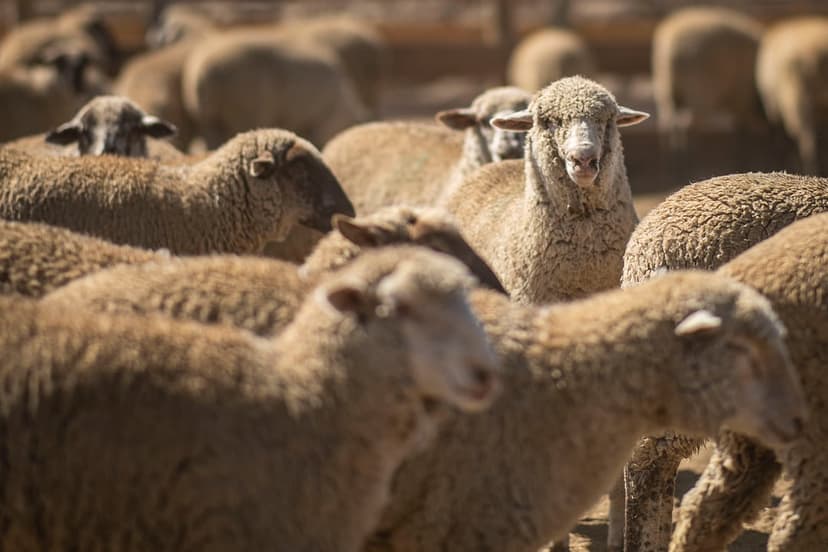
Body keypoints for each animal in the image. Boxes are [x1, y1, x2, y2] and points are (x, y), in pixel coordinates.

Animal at [652, 7, 765, 149]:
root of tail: (670, 47)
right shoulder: (742, 96)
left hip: (666, 88)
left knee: (667, 122)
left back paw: (671, 146)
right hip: (699, 90)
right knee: (689, 122)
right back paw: (694, 145)